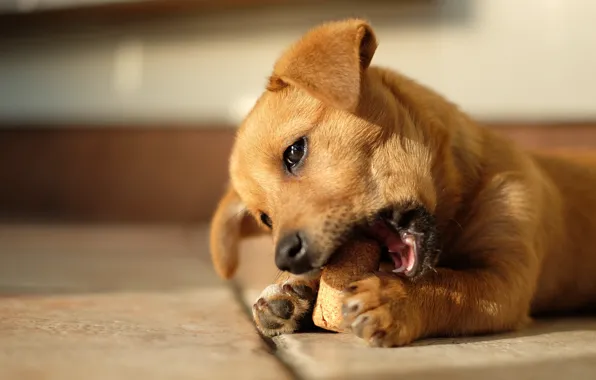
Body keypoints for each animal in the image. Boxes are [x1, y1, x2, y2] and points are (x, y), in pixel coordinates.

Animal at [207, 20, 592, 348]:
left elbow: (452, 285)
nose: (285, 257)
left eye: (294, 152)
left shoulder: (507, 279)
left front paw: (392, 299)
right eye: (265, 219)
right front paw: (291, 293)